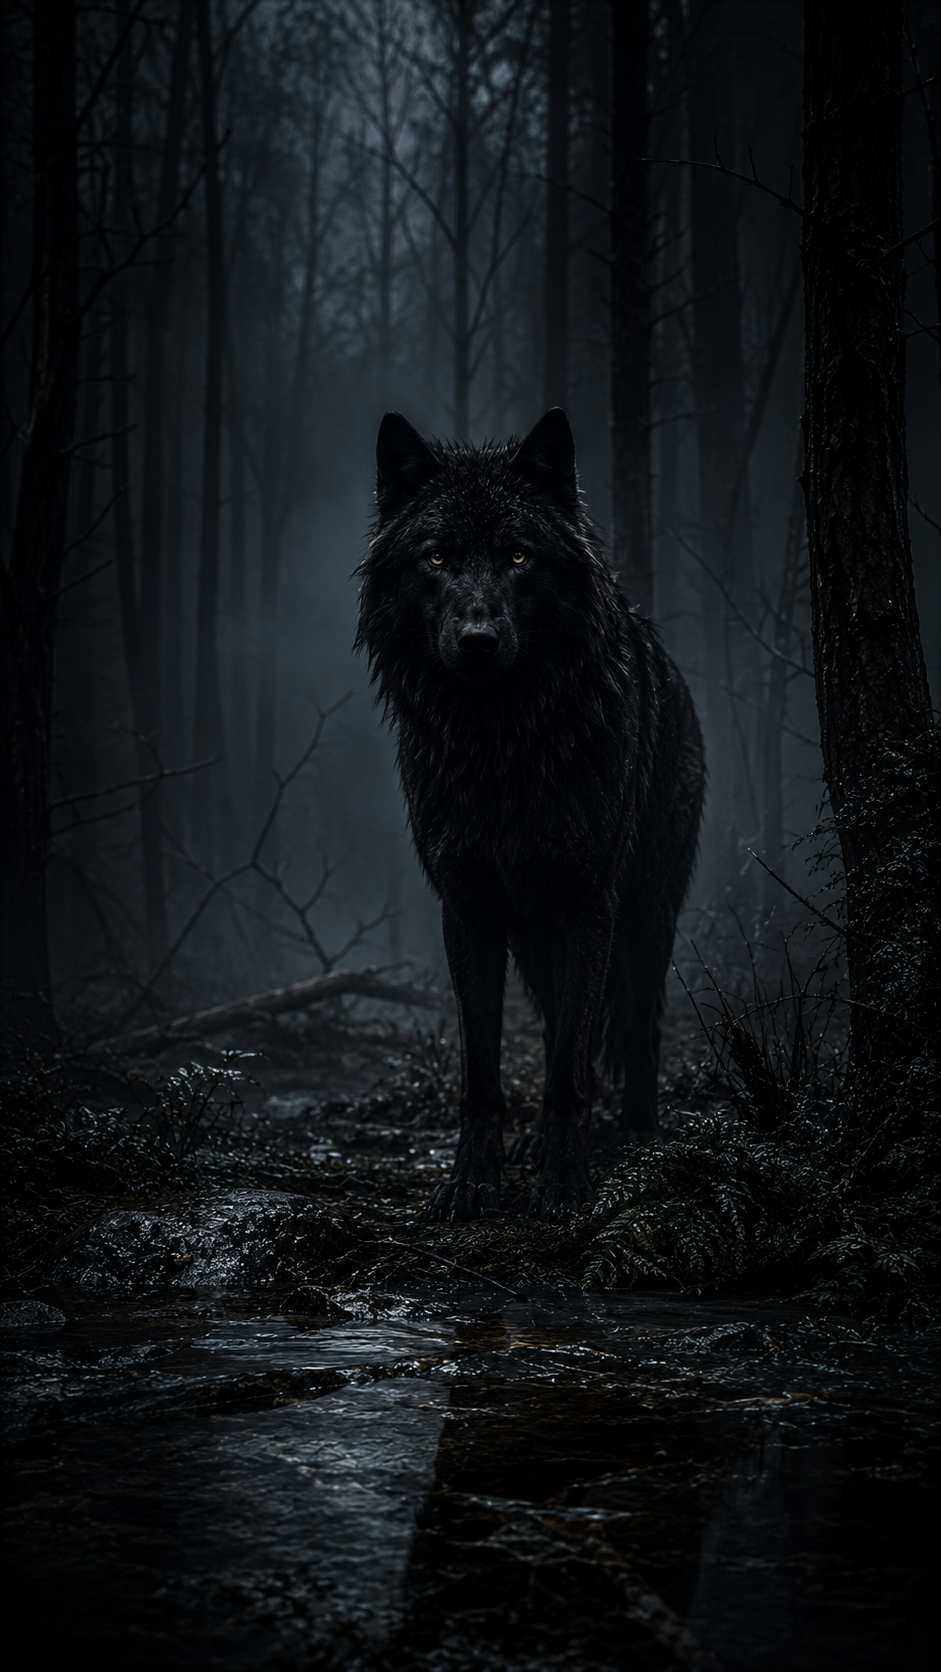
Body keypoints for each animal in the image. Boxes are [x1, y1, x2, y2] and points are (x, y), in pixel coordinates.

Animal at [356, 408, 704, 1220]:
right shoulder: (468, 907)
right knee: (553, 1030)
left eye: (518, 556)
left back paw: (637, 1136)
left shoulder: (589, 905)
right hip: (539, 941)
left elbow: (570, 1065)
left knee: (635, 1031)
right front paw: (472, 1182)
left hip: (644, 919)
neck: (500, 745)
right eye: (437, 558)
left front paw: (566, 1181)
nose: (478, 642)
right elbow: (485, 1068)